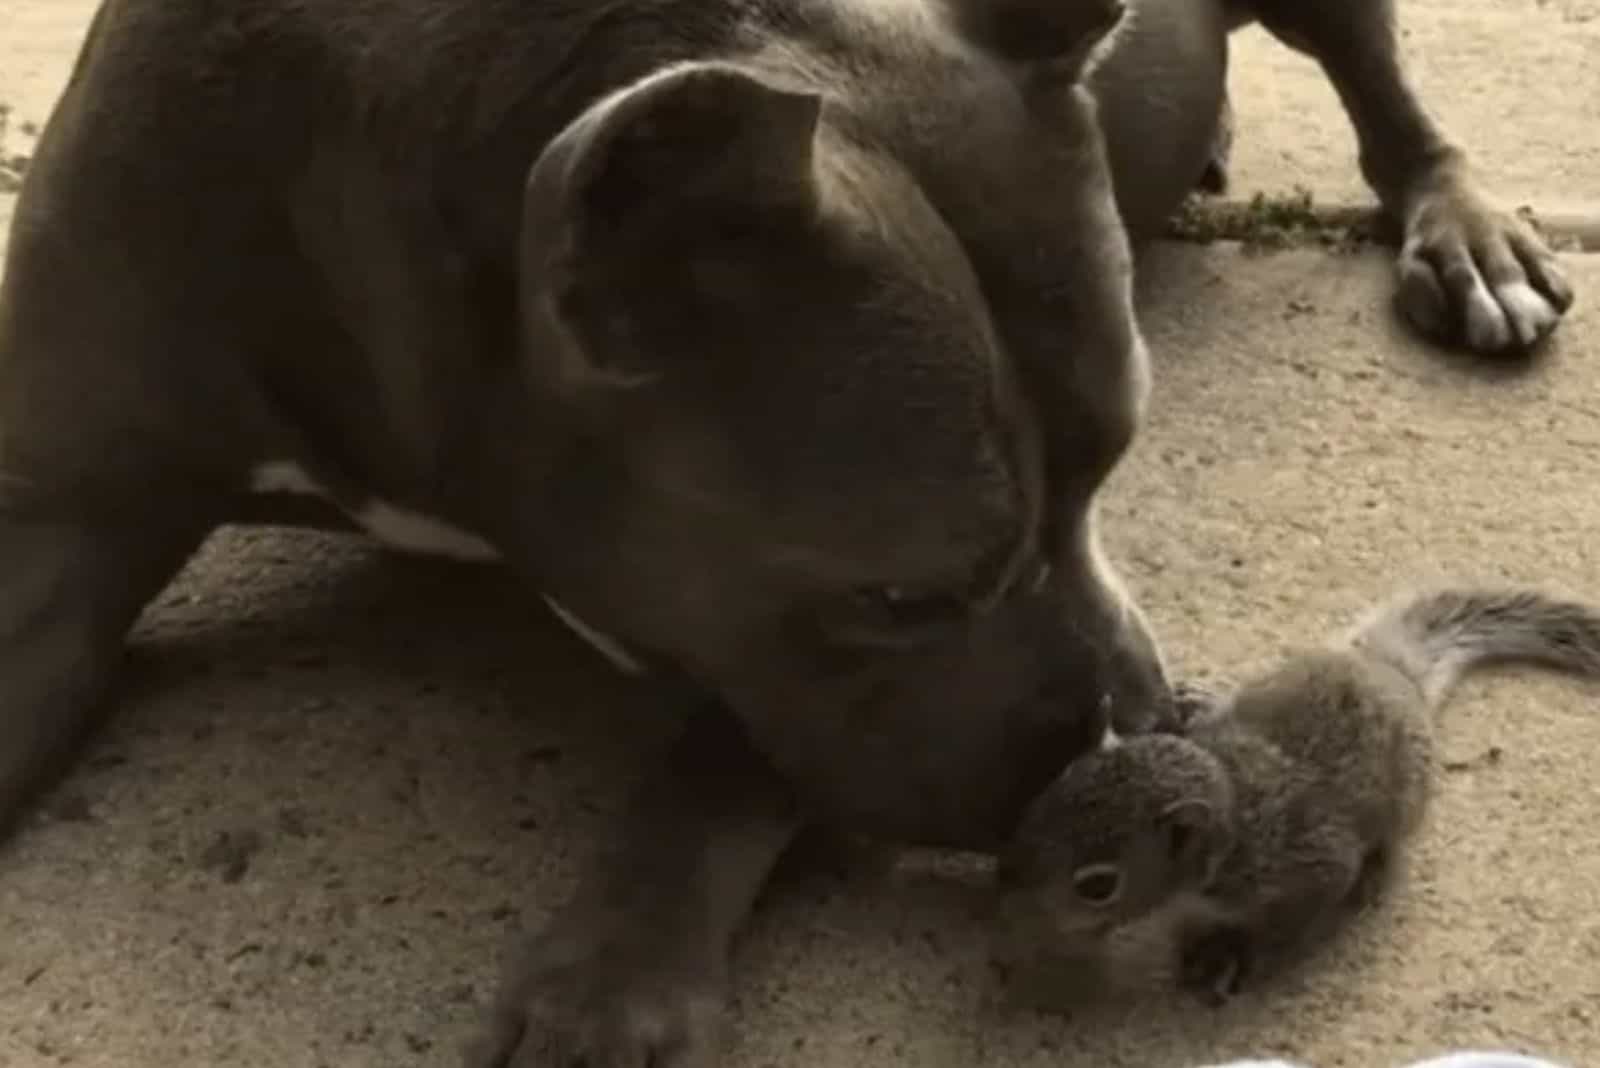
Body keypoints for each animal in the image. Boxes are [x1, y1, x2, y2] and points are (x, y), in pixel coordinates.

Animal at [992, 585, 1600, 1010]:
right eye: (1061, 782)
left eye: (1098, 884)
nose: (1007, 885)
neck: (1232, 805)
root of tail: (1387, 671)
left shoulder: (1305, 867)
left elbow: (1291, 919)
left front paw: (1232, 952)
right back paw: (1199, 701)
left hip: (1407, 795)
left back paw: (1375, 873)